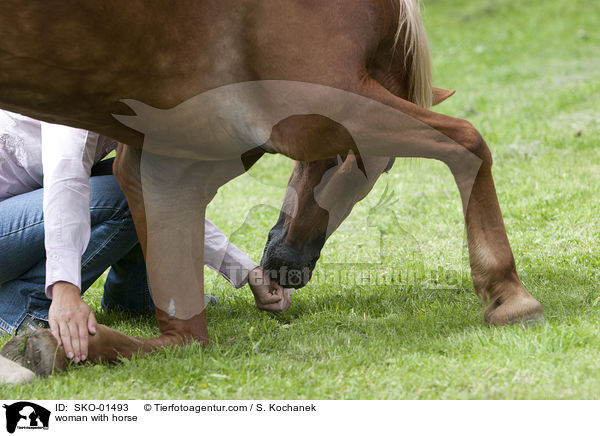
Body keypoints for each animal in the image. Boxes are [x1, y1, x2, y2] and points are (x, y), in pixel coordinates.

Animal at [0, 0, 544, 374]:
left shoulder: (165, 167)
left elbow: (184, 335)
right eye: (371, 164)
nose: (288, 267)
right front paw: (509, 295)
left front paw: (63, 344)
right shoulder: (329, 110)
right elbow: (468, 144)